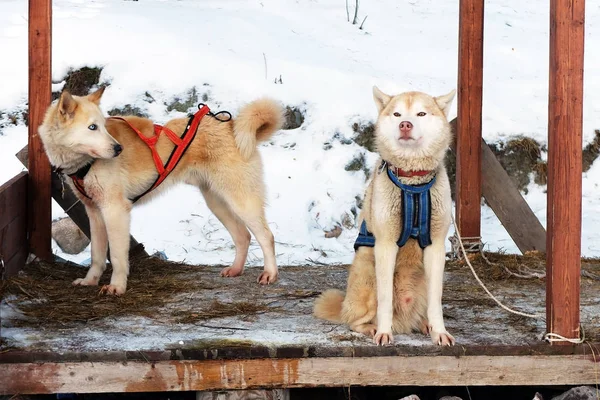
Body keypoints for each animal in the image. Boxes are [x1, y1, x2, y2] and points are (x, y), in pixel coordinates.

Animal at [39, 87, 284, 294]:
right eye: (92, 127)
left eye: (102, 126)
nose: (119, 149)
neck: (85, 163)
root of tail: (230, 126)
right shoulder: (94, 213)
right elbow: (97, 256)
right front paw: (90, 281)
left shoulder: (115, 211)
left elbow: (117, 257)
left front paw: (117, 287)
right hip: (217, 202)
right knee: (243, 236)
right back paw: (235, 269)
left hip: (241, 201)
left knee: (266, 236)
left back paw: (270, 274)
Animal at [314, 86, 454, 346]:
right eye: (397, 114)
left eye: (421, 113)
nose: (405, 124)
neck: (412, 184)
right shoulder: (386, 245)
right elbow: (386, 300)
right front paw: (383, 333)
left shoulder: (436, 246)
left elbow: (436, 302)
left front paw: (439, 331)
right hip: (368, 275)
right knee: (355, 321)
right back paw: (372, 328)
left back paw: (424, 325)